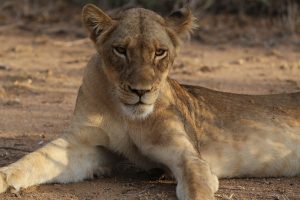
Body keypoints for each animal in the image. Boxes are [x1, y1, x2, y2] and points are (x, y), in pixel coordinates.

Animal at [0, 3, 300, 200]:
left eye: (160, 52)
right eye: (121, 50)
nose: (140, 91)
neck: (126, 115)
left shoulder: (184, 152)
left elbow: (196, 182)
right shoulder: (87, 146)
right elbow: (35, 159)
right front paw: (4, 177)